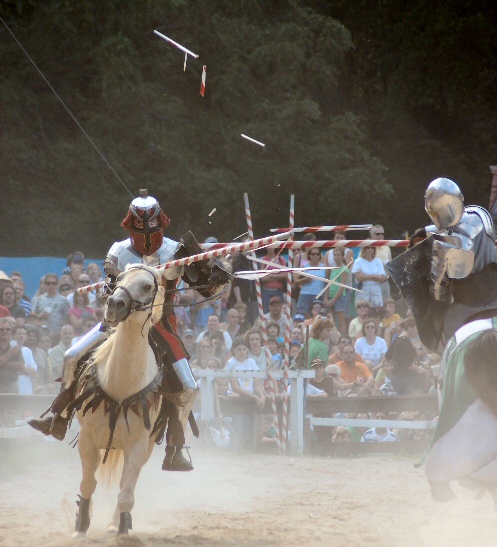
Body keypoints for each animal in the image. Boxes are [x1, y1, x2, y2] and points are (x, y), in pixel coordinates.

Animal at [71, 264, 165, 536]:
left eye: (147, 285)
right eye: (119, 278)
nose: (114, 303)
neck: (121, 383)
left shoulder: (138, 446)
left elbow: (126, 493)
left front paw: (122, 530)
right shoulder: (87, 439)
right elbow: (87, 484)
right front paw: (80, 527)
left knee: (126, 486)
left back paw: (115, 524)